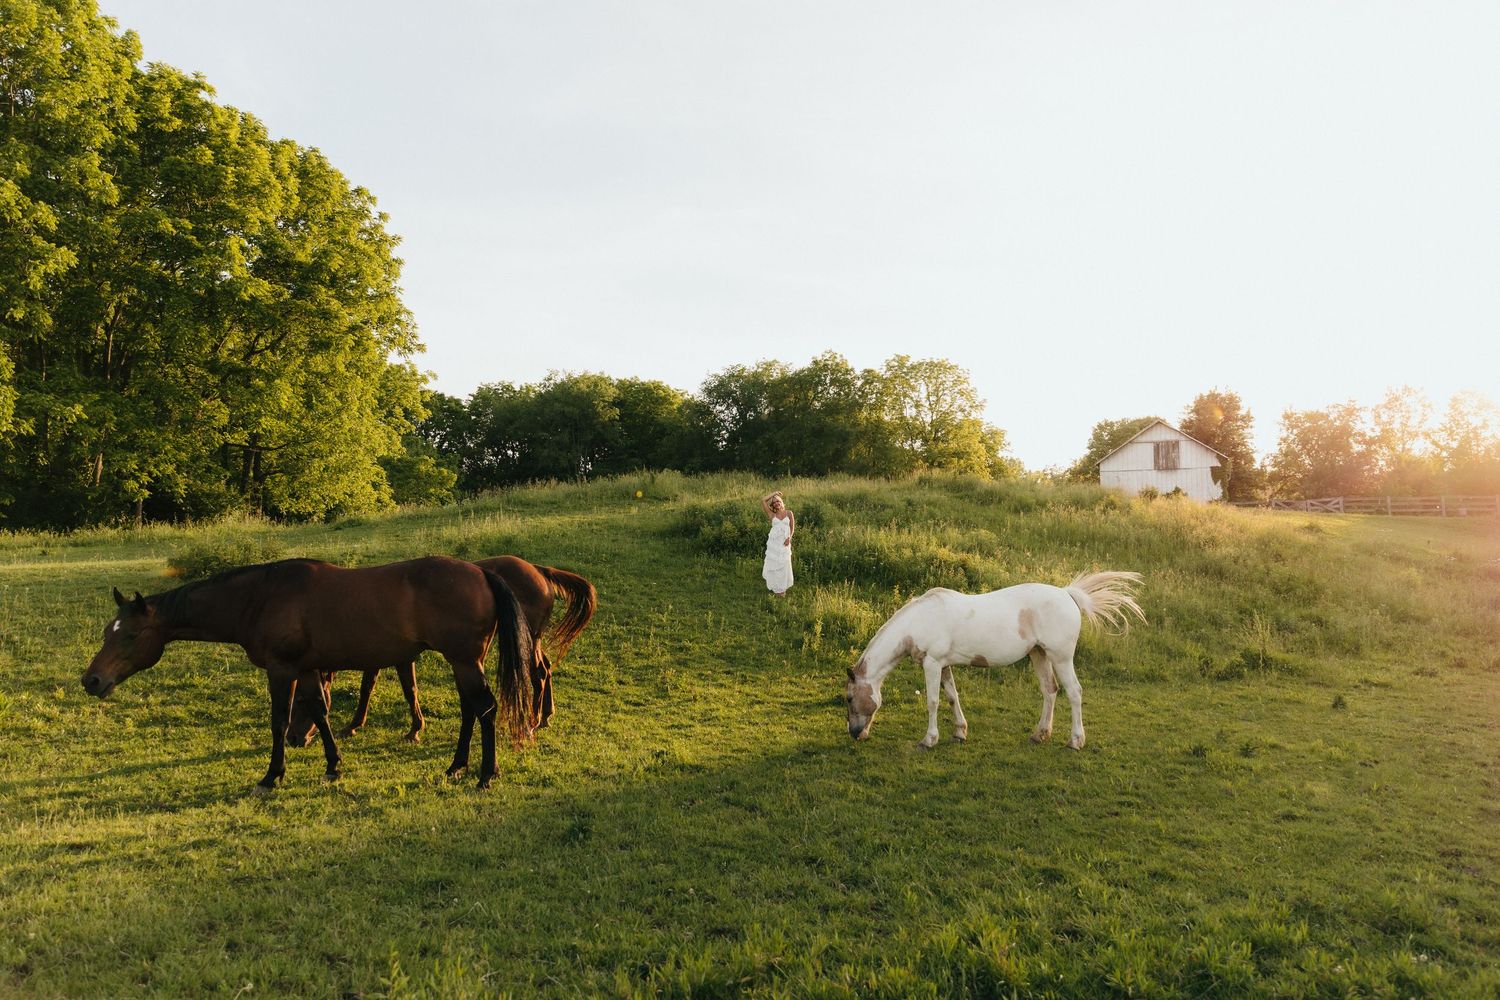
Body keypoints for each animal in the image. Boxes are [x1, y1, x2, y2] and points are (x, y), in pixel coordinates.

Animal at [82, 556, 533, 791]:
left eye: (132, 635)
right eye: (107, 631)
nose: (92, 680)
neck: (260, 597)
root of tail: (482, 572)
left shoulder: (282, 670)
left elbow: (279, 721)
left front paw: (272, 775)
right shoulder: (310, 668)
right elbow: (319, 711)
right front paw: (333, 765)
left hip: (464, 661)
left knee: (485, 709)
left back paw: (485, 774)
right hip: (463, 662)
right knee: (470, 711)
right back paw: (456, 766)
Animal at [285, 555, 596, 746]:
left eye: (300, 700)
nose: (294, 738)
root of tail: (539, 571)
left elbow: (374, 689)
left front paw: (355, 725)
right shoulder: (396, 656)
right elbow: (396, 689)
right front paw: (409, 728)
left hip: (526, 640)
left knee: (538, 674)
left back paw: (532, 722)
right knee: (546, 669)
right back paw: (545, 716)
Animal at [844, 571, 1144, 750]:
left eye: (848, 698)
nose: (855, 733)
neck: (919, 620)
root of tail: (1067, 594)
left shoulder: (932, 664)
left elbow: (933, 702)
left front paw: (929, 739)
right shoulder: (944, 665)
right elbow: (952, 697)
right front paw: (960, 732)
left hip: (1061, 657)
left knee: (1074, 692)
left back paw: (1076, 740)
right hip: (1039, 655)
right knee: (1050, 690)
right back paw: (1040, 734)